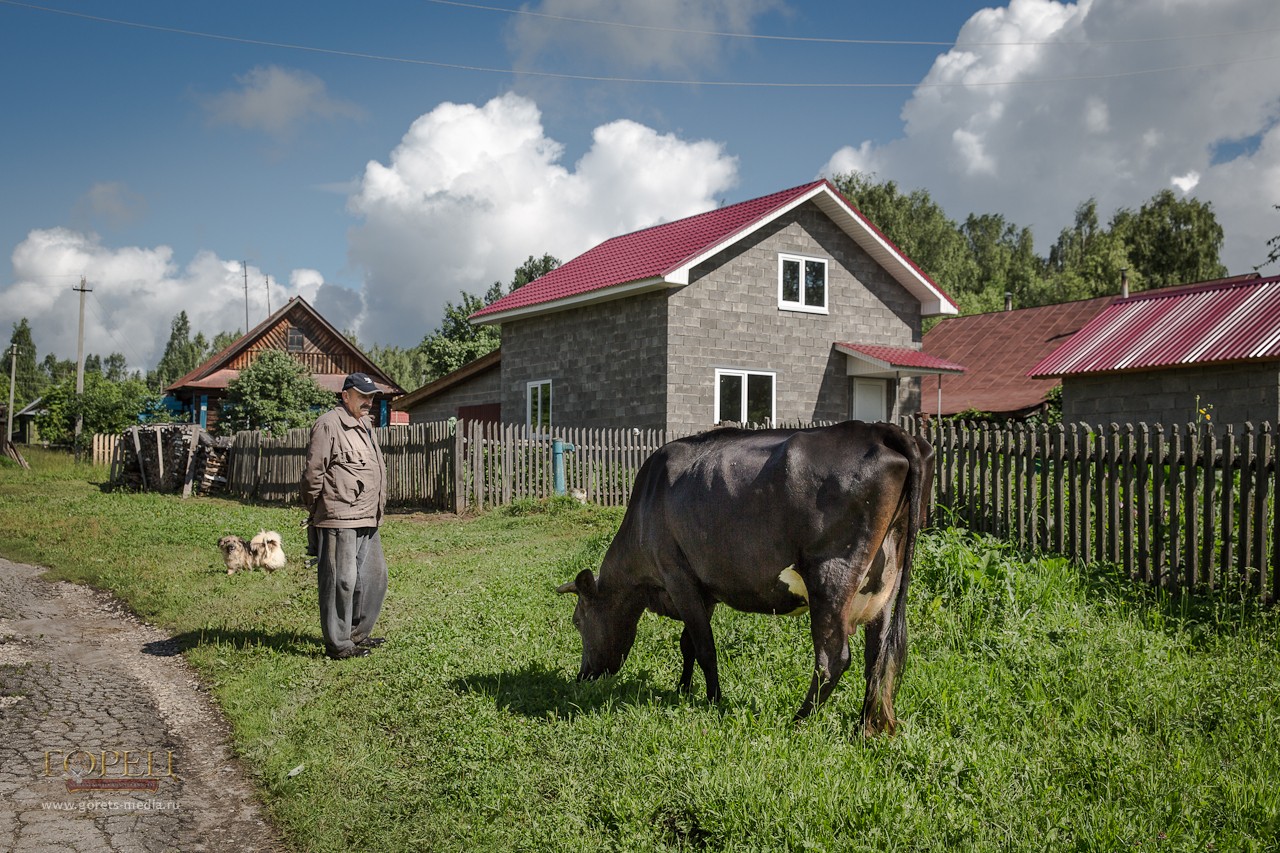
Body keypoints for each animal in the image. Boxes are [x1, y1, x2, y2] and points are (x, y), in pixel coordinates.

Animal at [555, 417, 936, 732]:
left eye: (577, 621)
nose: (582, 676)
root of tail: (881, 429)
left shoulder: (677, 576)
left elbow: (704, 647)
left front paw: (712, 699)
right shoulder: (702, 587)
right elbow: (687, 643)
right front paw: (682, 688)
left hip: (831, 576)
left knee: (833, 658)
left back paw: (797, 721)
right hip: (884, 582)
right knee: (878, 655)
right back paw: (864, 727)